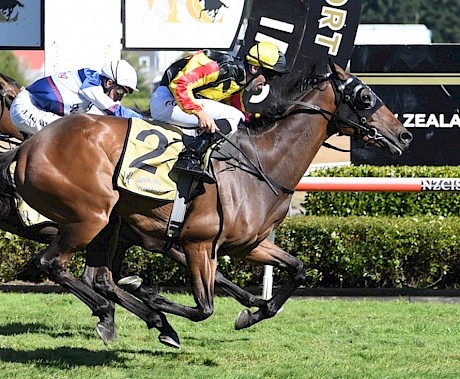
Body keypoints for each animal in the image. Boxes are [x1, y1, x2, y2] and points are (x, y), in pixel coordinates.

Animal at [5, 60, 412, 348]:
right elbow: (204, 307)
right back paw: (120, 313)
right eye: (364, 97)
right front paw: (151, 297)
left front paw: (252, 312)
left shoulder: (249, 244)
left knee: (96, 276)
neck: (262, 164)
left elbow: (297, 270)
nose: (404, 134)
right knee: (51, 264)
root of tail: (28, 148)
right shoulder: (197, 244)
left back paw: (126, 316)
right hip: (89, 217)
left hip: (109, 225)